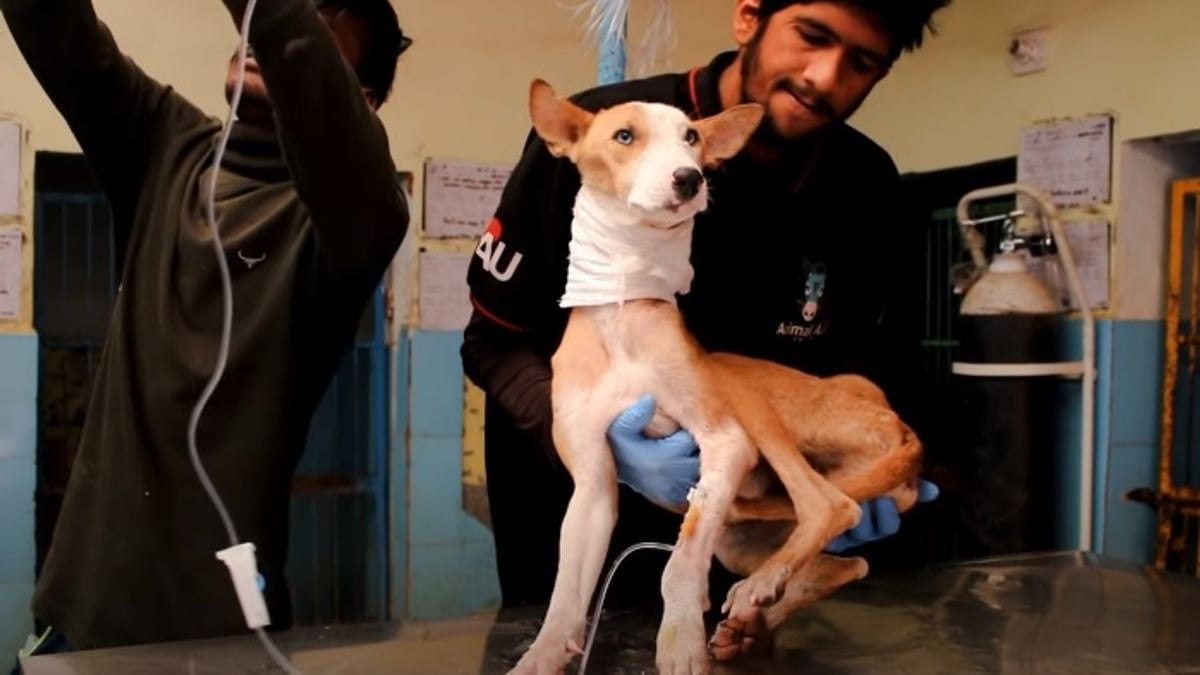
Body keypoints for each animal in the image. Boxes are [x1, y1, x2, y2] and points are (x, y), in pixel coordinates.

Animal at [511, 79, 921, 672]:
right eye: (624, 135)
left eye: (692, 138)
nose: (690, 178)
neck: (622, 313)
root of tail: (902, 429)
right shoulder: (592, 484)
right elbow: (565, 594)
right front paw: (539, 657)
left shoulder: (727, 442)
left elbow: (679, 563)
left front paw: (680, 638)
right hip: (741, 536)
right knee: (849, 564)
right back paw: (753, 617)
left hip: (749, 396)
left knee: (830, 504)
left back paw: (759, 591)